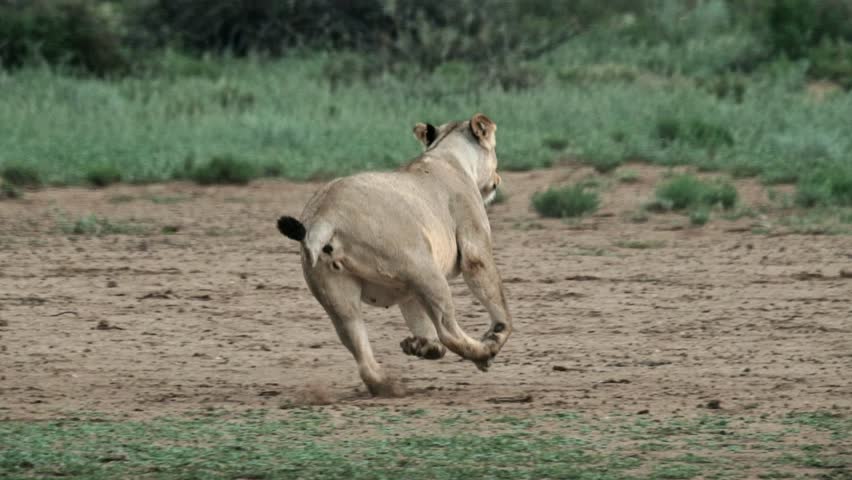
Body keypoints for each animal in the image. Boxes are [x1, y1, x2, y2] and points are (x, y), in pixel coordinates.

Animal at [276, 113, 512, 396]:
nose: (498, 179)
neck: (446, 154)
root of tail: (324, 216)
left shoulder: (405, 289)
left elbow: (417, 318)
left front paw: (422, 346)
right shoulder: (474, 248)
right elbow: (498, 303)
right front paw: (496, 333)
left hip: (338, 296)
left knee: (360, 351)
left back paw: (390, 384)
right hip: (425, 270)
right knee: (449, 331)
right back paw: (484, 351)